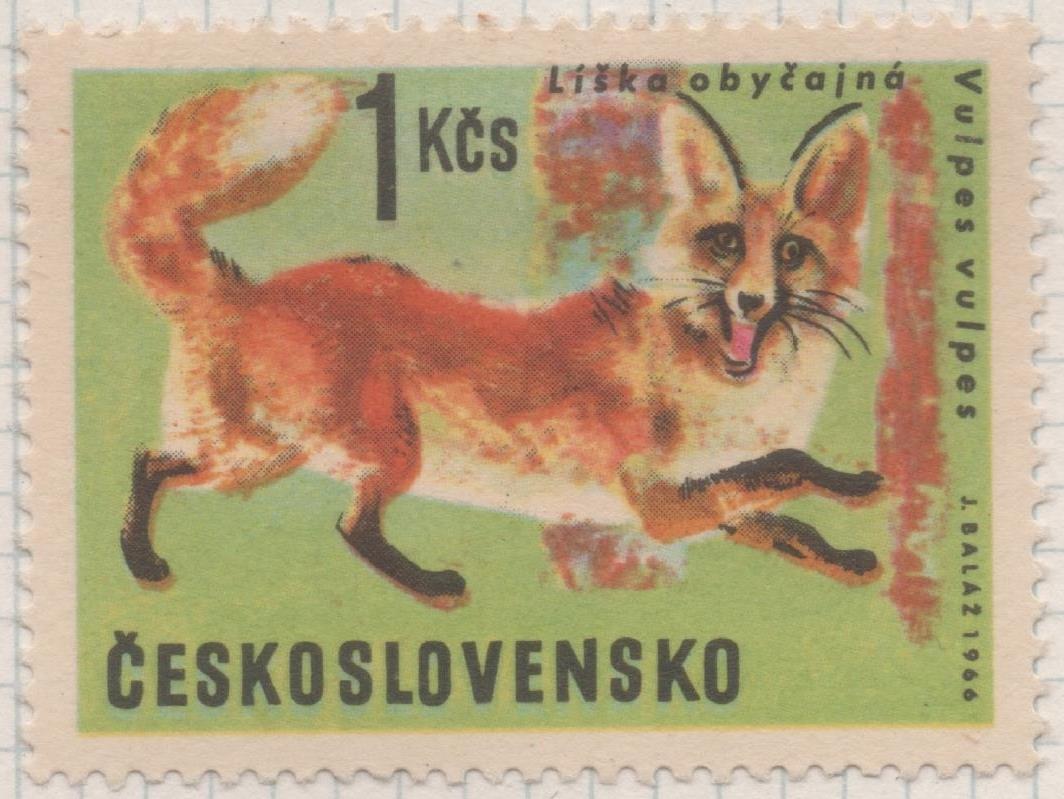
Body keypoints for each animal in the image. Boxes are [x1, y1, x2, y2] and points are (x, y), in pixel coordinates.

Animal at [108, 74, 884, 604]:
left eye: (791, 253)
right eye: (726, 245)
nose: (751, 299)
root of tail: (248, 292)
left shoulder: (708, 504)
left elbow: (790, 516)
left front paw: (848, 547)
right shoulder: (658, 502)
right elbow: (784, 462)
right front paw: (849, 486)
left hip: (261, 454)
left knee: (157, 460)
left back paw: (144, 562)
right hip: (384, 446)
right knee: (348, 525)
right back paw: (429, 585)